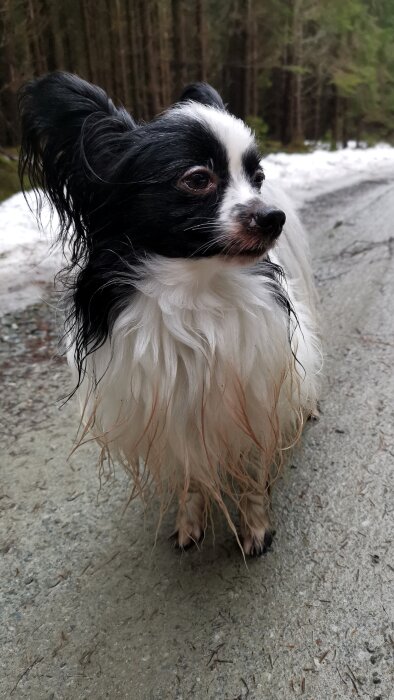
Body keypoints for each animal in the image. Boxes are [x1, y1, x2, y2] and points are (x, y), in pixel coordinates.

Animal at [18, 75, 322, 556]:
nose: (274, 217)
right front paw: (189, 521)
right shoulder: (170, 414)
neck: (195, 296)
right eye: (197, 179)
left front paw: (256, 527)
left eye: (257, 179)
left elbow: (254, 471)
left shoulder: (252, 394)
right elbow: (189, 477)